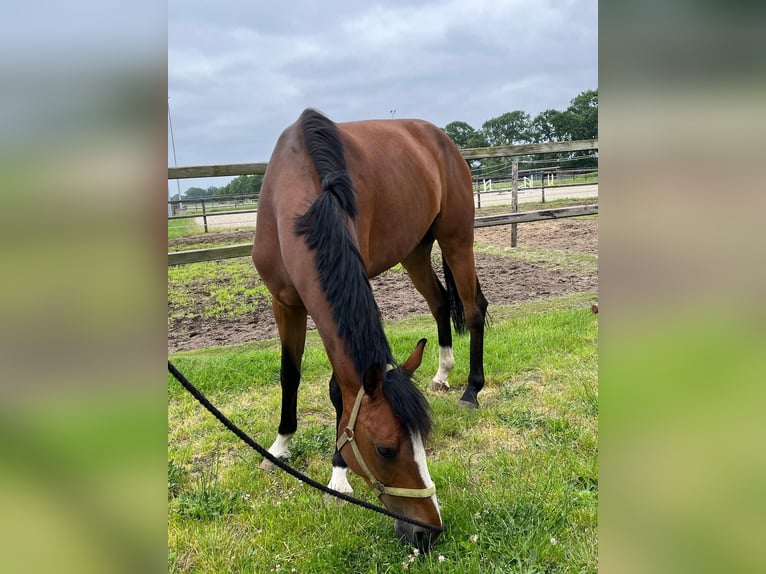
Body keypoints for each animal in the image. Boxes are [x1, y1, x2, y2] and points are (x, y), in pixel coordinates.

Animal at [255, 109, 488, 552]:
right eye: (385, 449)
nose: (429, 532)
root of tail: (439, 138)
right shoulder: (285, 303)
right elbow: (289, 374)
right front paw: (280, 445)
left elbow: (336, 389)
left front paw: (338, 474)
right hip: (414, 250)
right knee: (438, 304)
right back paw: (442, 374)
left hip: (456, 239)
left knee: (473, 311)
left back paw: (471, 389)